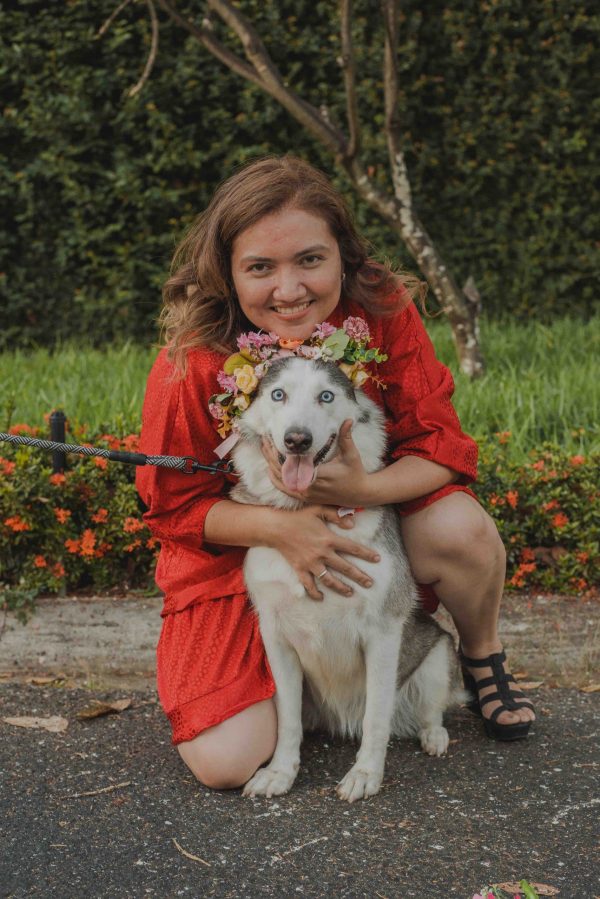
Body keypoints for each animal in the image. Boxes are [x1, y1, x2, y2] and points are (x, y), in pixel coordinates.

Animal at [229, 356, 464, 802]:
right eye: (278, 394)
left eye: (326, 396)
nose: (297, 440)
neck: (312, 514)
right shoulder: (276, 636)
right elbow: (287, 721)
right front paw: (280, 772)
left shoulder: (383, 632)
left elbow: (376, 718)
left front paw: (365, 775)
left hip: (437, 657)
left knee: (428, 710)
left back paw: (435, 736)